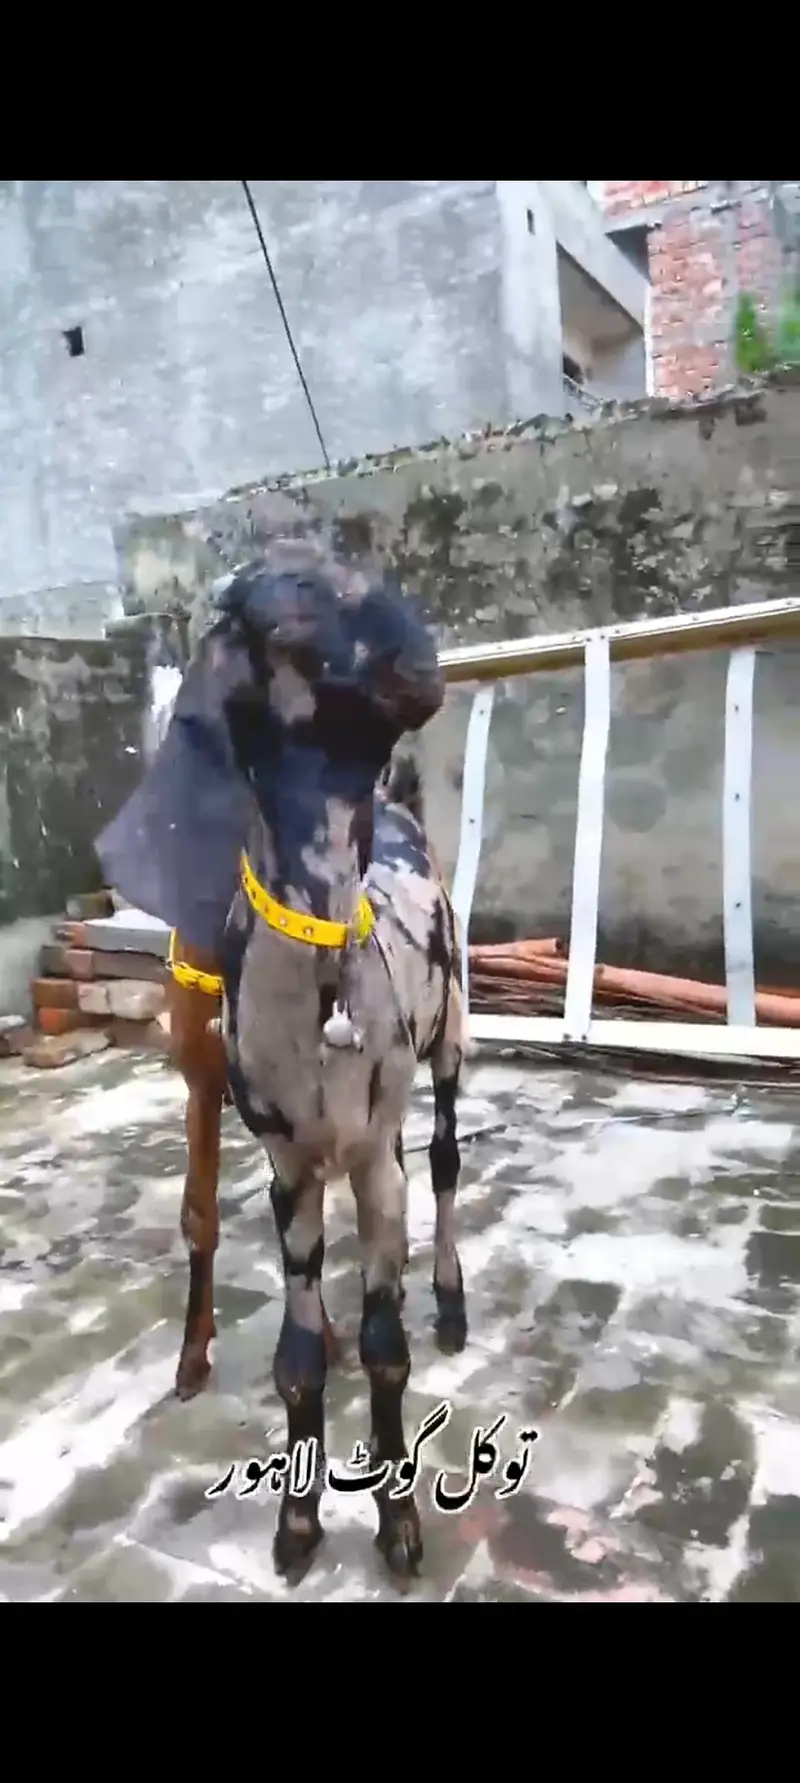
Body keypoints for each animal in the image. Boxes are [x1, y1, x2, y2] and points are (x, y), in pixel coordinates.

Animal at [96, 552, 467, 1584]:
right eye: (285, 608)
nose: (420, 654)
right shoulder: (287, 1162)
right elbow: (297, 1353)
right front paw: (298, 1524)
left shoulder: (375, 1158)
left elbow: (386, 1347)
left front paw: (398, 1524)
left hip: (451, 1036)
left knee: (447, 1160)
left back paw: (450, 1298)